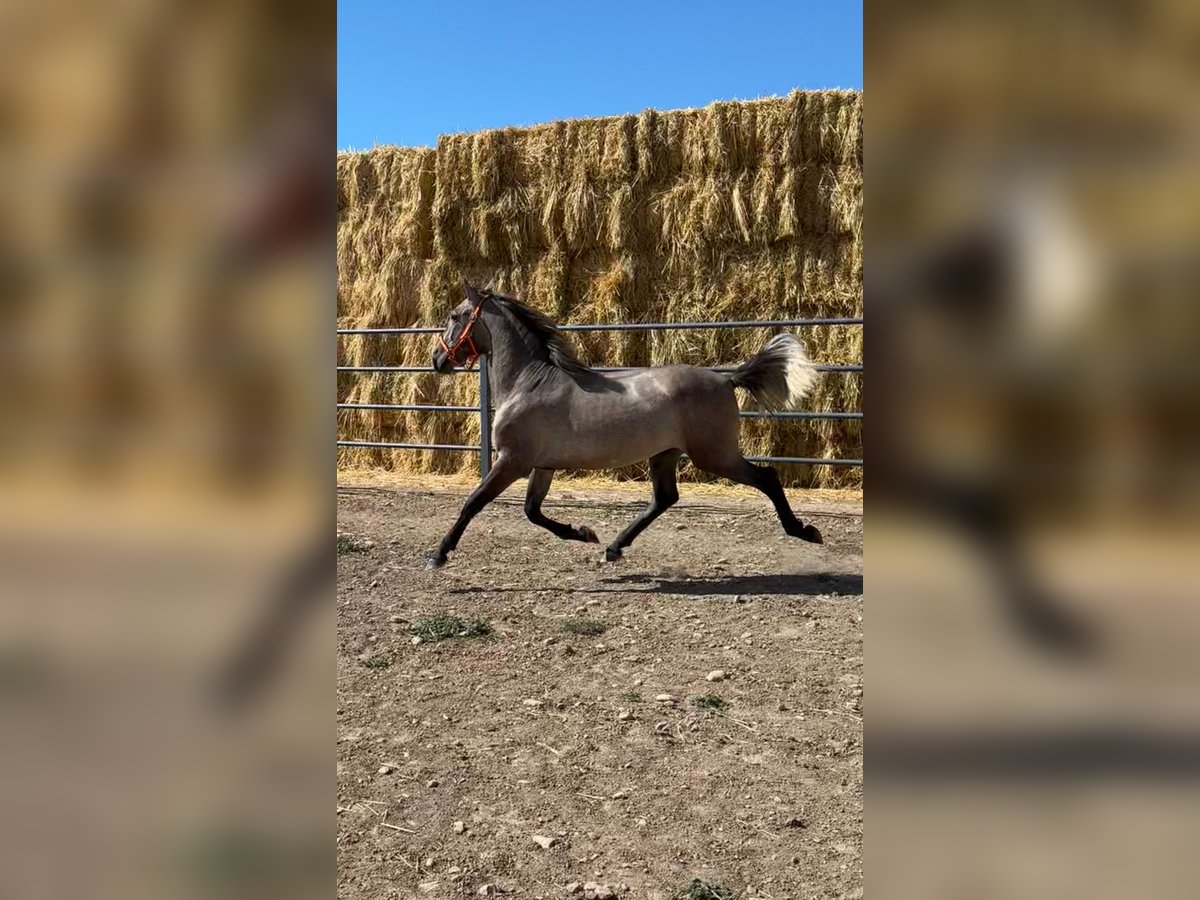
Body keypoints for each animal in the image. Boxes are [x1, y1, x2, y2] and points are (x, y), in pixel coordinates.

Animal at [427, 283, 830, 571]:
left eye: (454, 315)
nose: (437, 359)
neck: (529, 382)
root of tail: (726, 379)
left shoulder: (513, 460)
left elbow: (474, 502)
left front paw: (438, 555)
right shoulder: (542, 465)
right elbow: (532, 511)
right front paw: (583, 533)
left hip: (715, 455)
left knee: (767, 477)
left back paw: (805, 531)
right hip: (666, 454)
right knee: (665, 498)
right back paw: (613, 547)